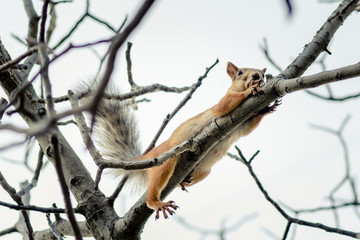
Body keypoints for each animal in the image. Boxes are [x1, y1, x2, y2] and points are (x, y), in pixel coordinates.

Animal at [89, 61, 278, 219]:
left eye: (262, 73)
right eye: (240, 72)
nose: (257, 77)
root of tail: (149, 155)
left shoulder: (244, 124)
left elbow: (250, 127)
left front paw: (267, 108)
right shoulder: (221, 105)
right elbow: (224, 106)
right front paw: (250, 90)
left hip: (204, 171)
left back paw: (183, 182)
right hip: (166, 160)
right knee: (155, 185)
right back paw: (157, 202)